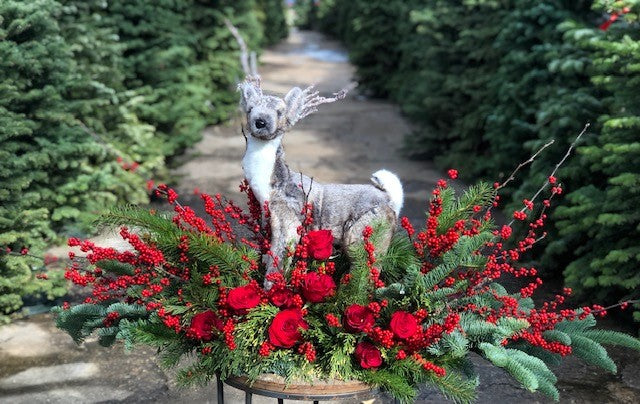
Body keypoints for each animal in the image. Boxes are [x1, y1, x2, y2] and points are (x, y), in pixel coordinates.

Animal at [237, 76, 404, 287]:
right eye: (250, 109)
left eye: (279, 112)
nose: (260, 122)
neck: (271, 183)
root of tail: (391, 200)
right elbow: (269, 256)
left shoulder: (287, 224)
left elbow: (278, 263)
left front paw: (270, 290)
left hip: (362, 237)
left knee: (367, 272)